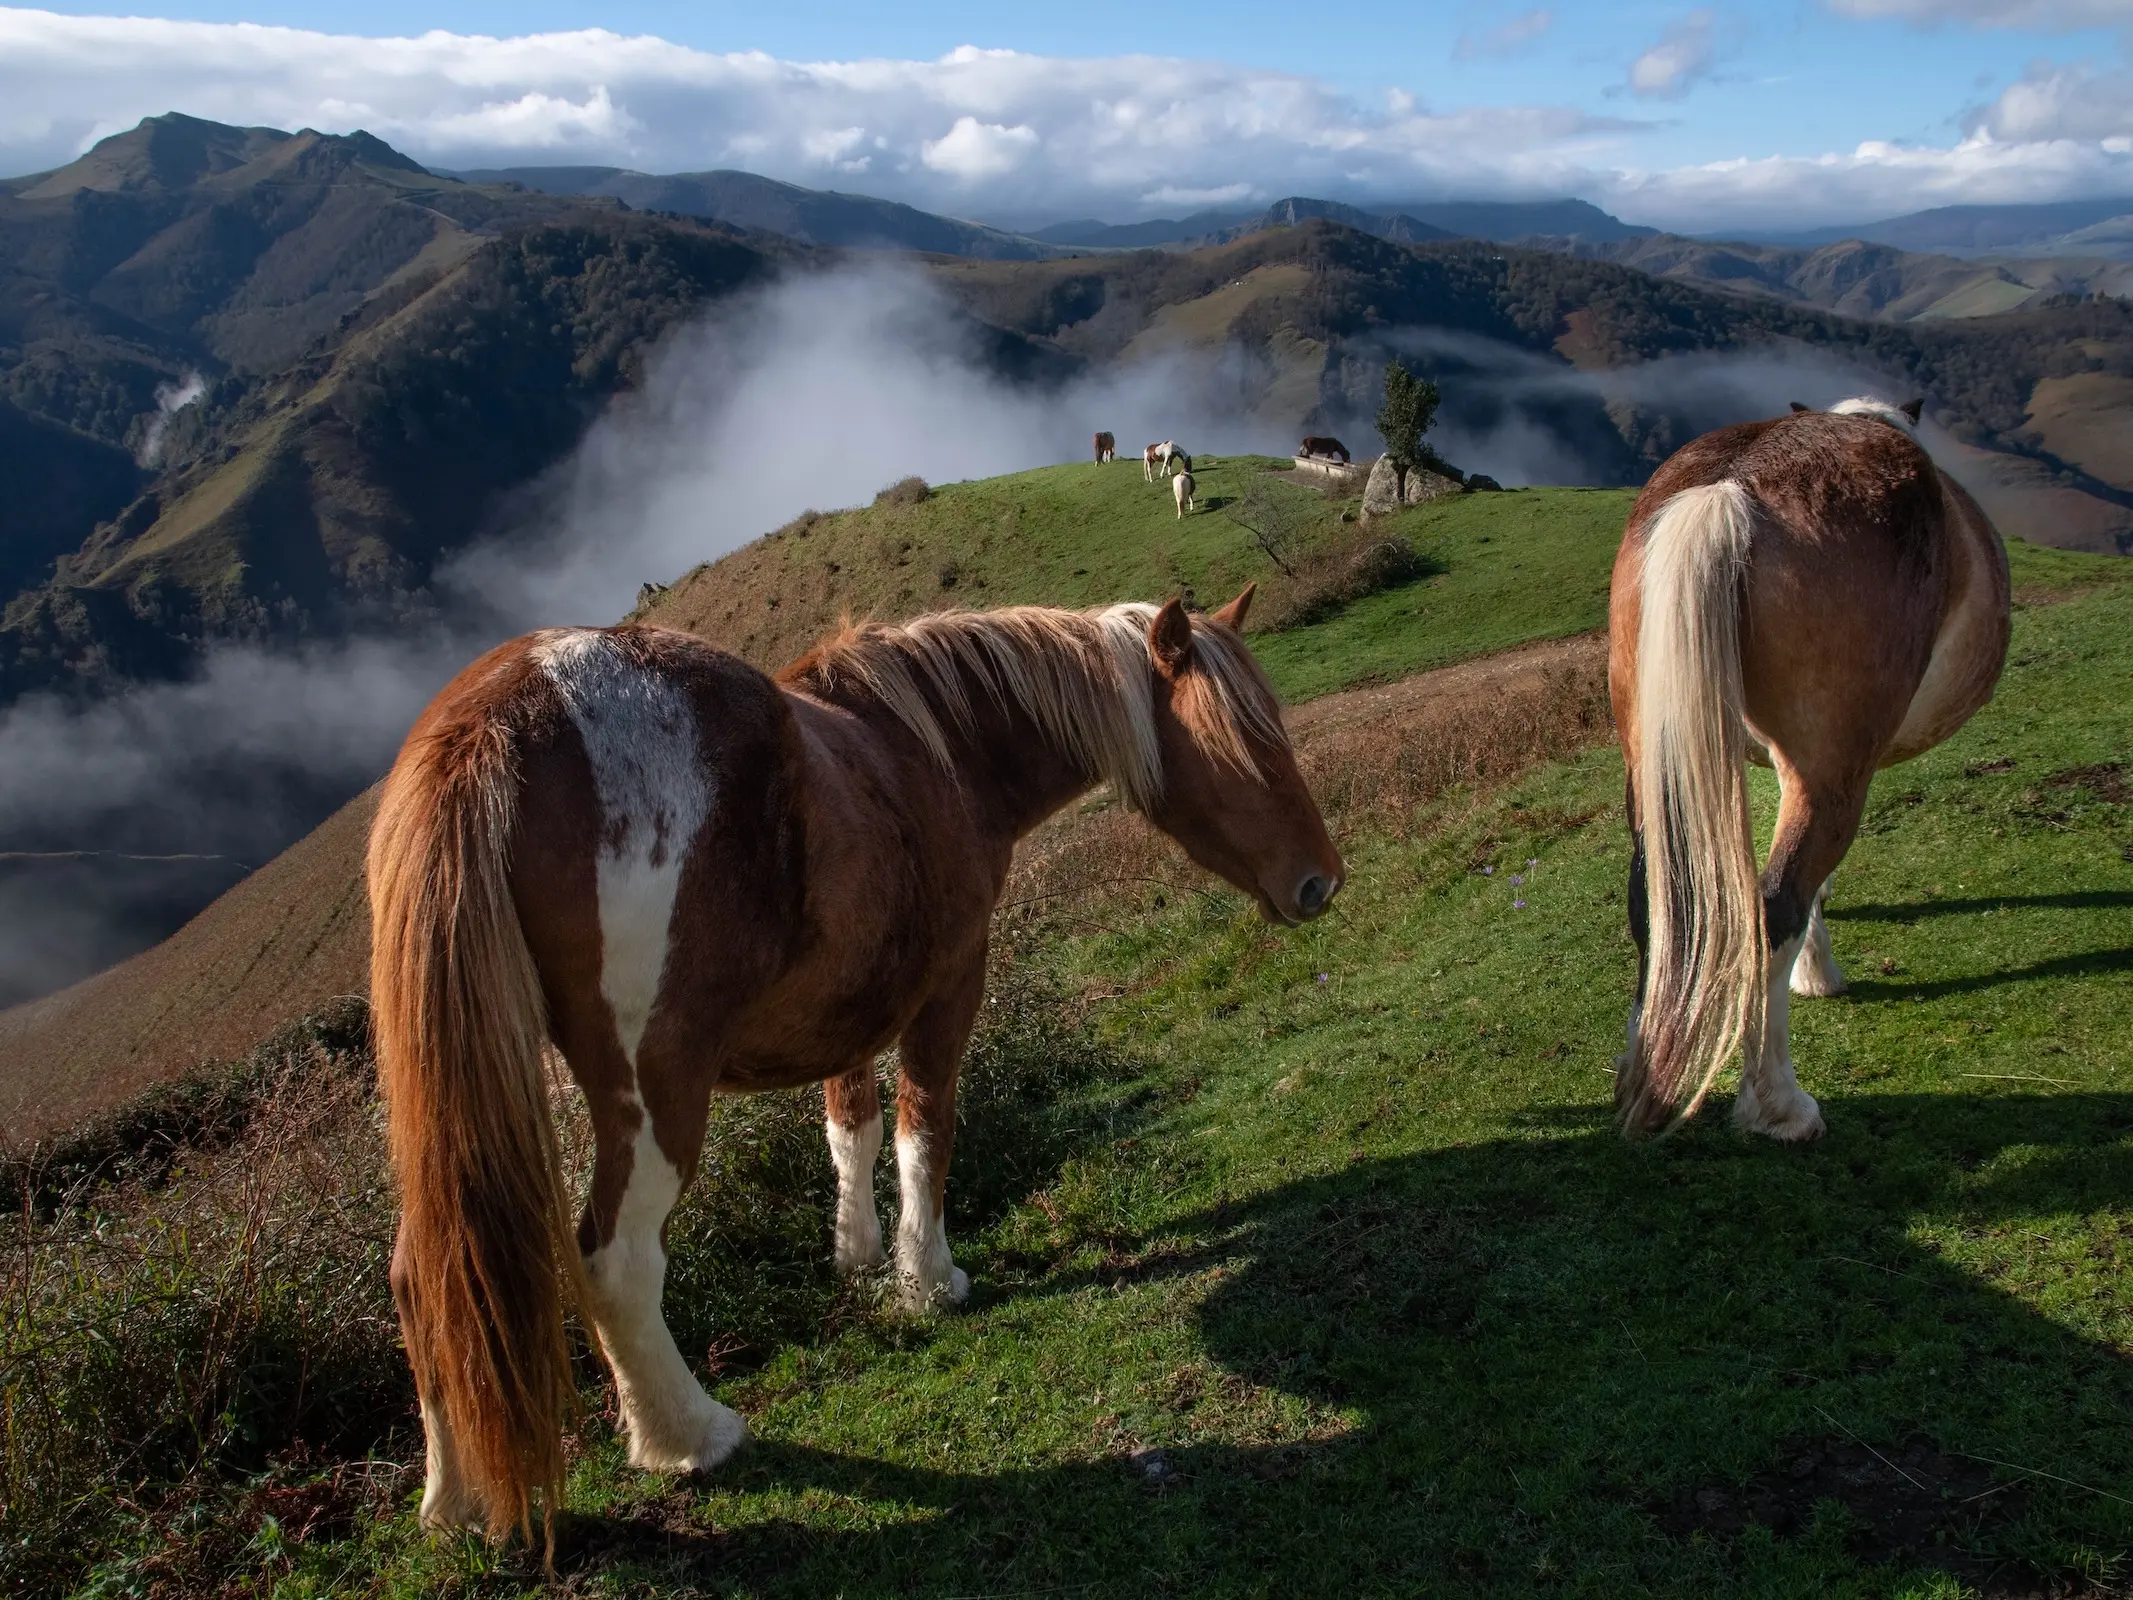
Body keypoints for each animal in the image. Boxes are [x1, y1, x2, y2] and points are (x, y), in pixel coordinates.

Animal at [364, 588, 1330, 1544]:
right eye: (1243, 737)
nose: (1321, 881)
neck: (938, 750)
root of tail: (492, 718)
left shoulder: (851, 1009)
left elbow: (851, 1132)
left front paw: (858, 1256)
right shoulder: (949, 983)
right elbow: (924, 1131)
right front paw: (928, 1280)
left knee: (427, 1278)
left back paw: (458, 1504)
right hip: (654, 1095)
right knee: (617, 1260)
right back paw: (688, 1436)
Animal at [1604, 401, 2005, 1152]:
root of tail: (1733, 486)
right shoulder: (1839, 772)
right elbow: (1811, 886)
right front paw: (1818, 975)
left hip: (1649, 762)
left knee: (1655, 901)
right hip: (1828, 775)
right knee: (1774, 909)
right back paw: (1778, 1106)